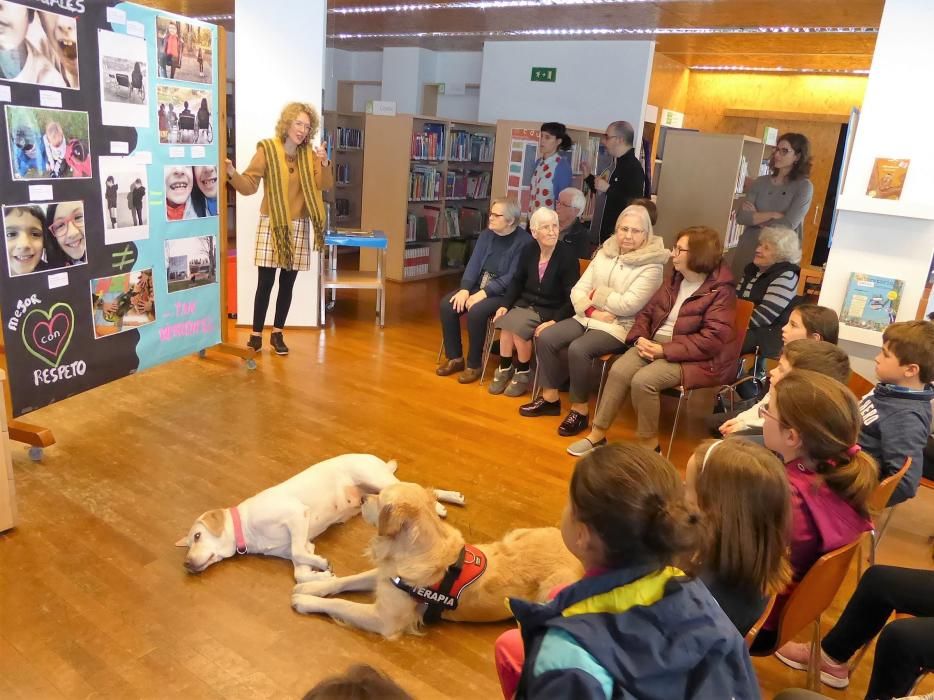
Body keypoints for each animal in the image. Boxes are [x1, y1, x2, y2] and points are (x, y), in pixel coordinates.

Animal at [175, 454, 464, 580]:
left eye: (198, 535)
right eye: (188, 544)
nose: (186, 564)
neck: (246, 529)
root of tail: (375, 458)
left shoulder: (295, 515)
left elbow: (298, 552)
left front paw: (323, 566)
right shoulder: (303, 545)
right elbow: (300, 572)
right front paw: (321, 575)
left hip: (376, 479)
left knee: (418, 489)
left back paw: (444, 504)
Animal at [292, 482, 584, 640]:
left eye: (380, 498)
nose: (362, 497)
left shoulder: (384, 619)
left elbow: (340, 604)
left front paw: (305, 601)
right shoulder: (388, 576)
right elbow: (346, 580)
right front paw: (311, 587)